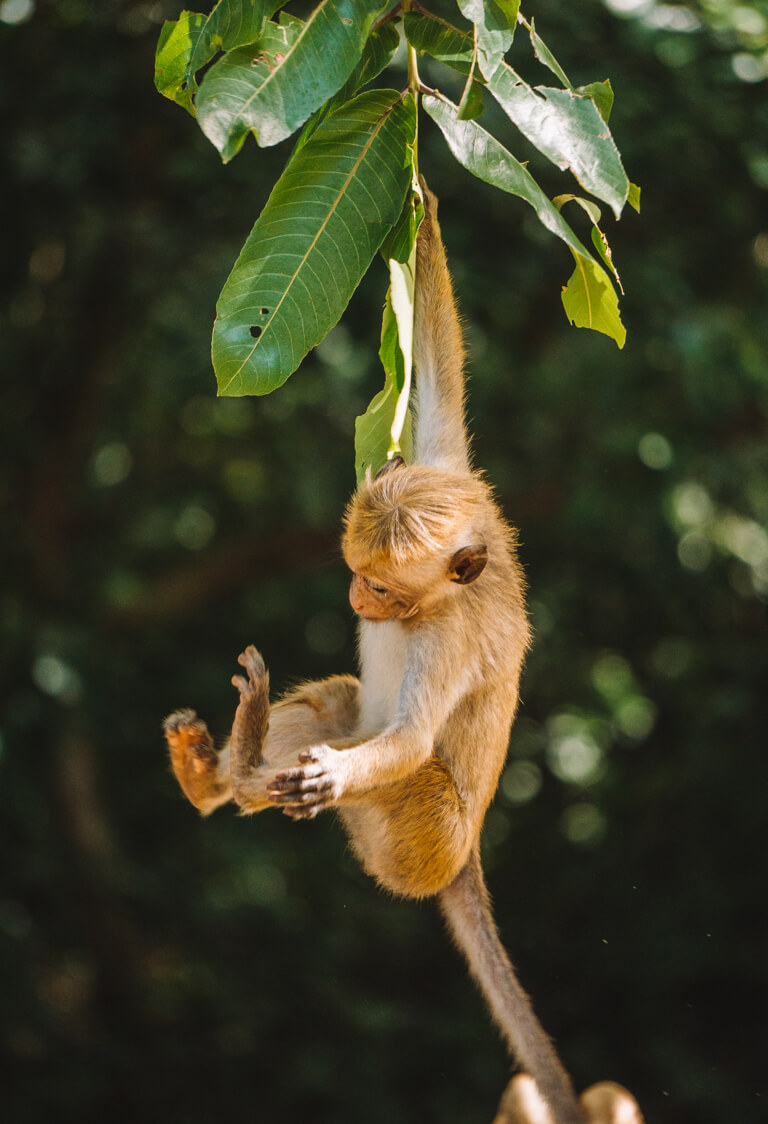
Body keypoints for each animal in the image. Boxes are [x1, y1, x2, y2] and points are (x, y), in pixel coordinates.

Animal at [165, 184, 584, 1124]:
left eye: (383, 590)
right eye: (355, 574)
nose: (358, 600)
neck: (442, 595)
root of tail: (464, 859)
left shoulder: (451, 638)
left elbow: (415, 741)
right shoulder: (455, 476)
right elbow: (438, 372)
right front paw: (423, 188)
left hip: (420, 841)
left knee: (404, 767)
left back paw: (253, 756)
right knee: (336, 703)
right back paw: (220, 773)